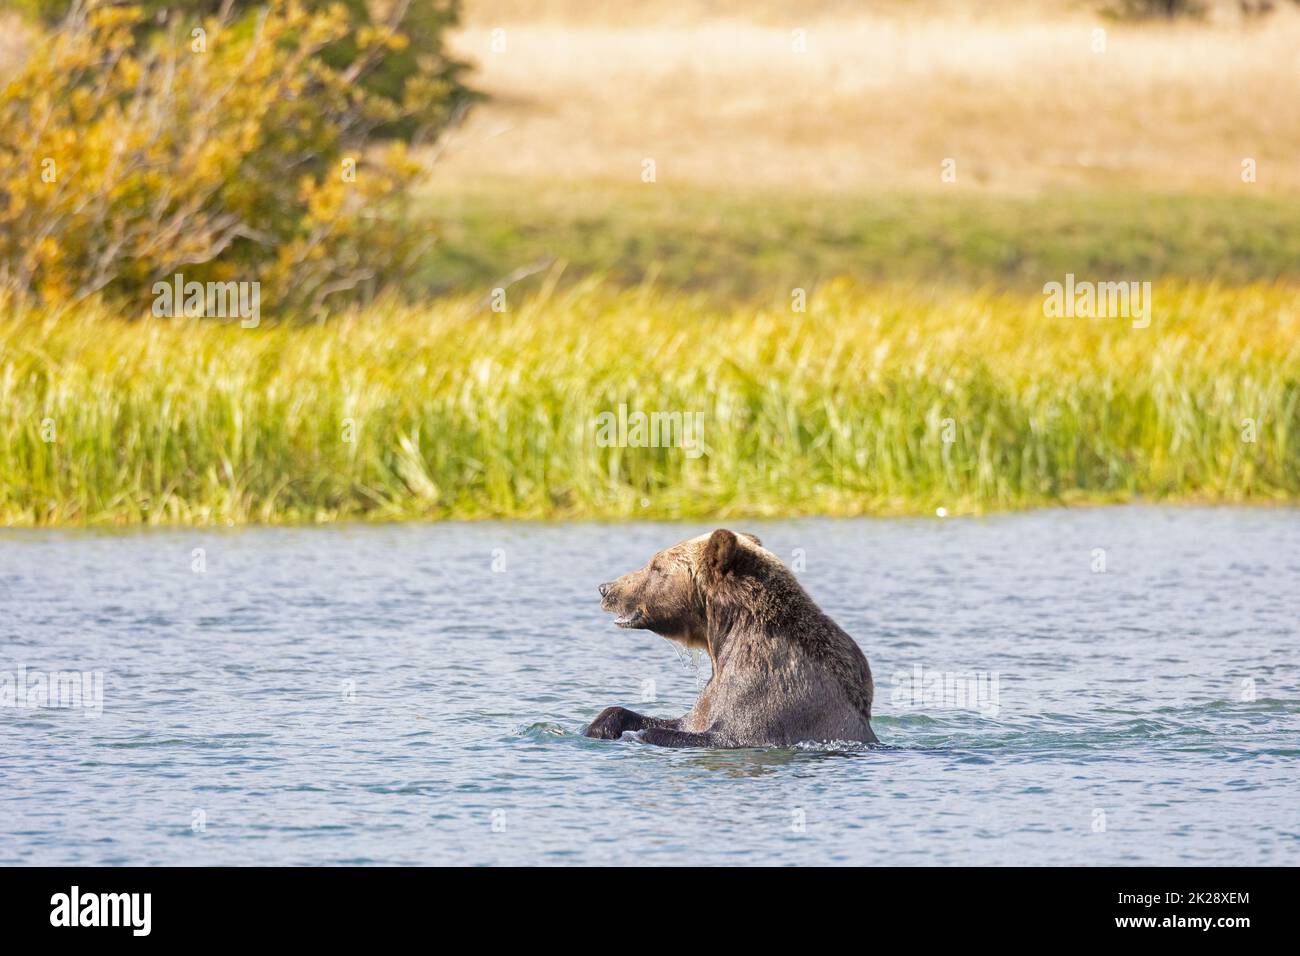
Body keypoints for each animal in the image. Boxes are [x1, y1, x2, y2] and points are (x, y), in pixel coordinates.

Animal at [585, 530, 878, 749]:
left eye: (656, 566)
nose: (605, 588)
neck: (725, 636)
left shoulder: (763, 694)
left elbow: (721, 734)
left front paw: (635, 735)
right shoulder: (709, 700)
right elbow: (681, 719)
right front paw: (599, 726)